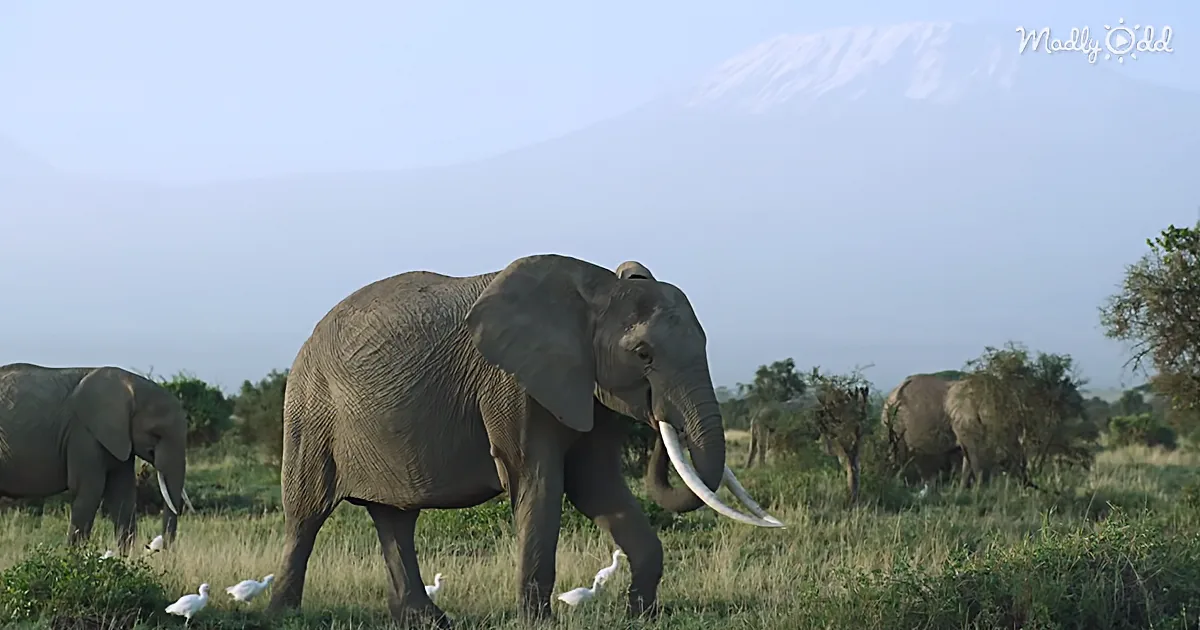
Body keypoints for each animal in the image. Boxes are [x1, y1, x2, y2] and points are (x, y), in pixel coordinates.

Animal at [0, 363, 190, 554]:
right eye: (156, 434)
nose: (159, 548)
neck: (130, 384)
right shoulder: (83, 434)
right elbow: (89, 489)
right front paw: (74, 557)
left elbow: (122, 494)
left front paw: (126, 558)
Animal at [267, 254, 782, 628]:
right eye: (642, 354)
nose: (660, 420)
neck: (597, 289)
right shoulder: (512, 385)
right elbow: (541, 483)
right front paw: (540, 622)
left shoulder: (586, 388)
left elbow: (597, 487)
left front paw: (642, 616)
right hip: (310, 409)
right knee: (307, 513)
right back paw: (283, 615)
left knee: (396, 518)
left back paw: (427, 621)